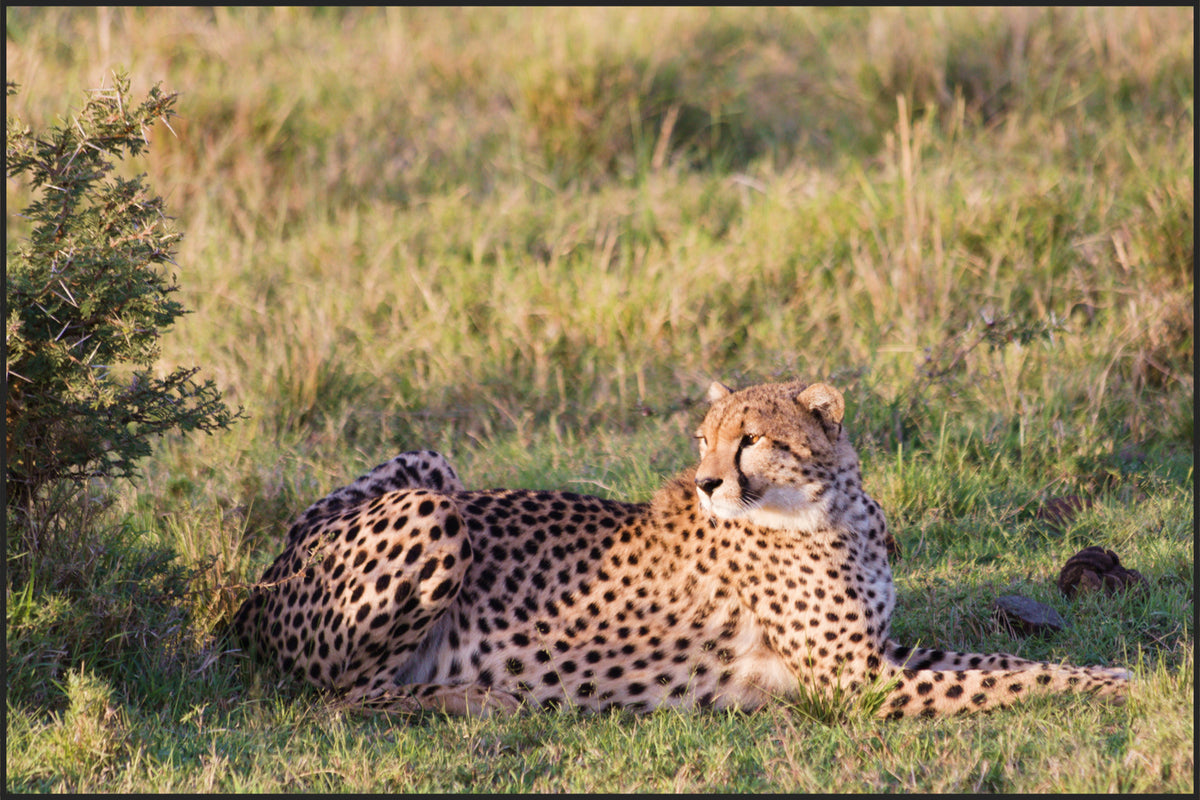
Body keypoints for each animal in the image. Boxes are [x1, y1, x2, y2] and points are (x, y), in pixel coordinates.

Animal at [231, 379, 1129, 718]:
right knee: (342, 697)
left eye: (753, 439)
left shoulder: (883, 655)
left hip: (431, 464)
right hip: (430, 509)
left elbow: (994, 662)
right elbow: (1008, 678)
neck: (831, 506)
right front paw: (1113, 681)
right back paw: (476, 700)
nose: (705, 480)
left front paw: (1105, 671)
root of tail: (259, 587)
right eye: (704, 437)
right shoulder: (863, 682)